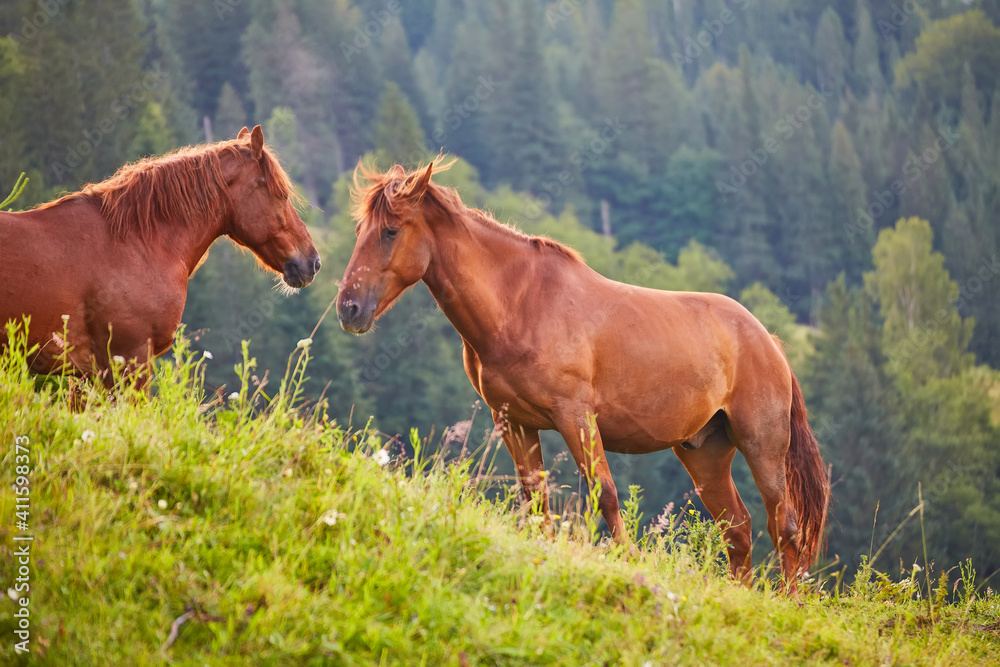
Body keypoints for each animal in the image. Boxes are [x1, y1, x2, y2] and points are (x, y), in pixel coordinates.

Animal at [335, 160, 831, 590]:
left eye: (391, 231)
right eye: (359, 231)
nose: (348, 308)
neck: (520, 304)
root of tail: (769, 342)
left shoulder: (575, 416)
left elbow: (604, 493)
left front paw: (629, 563)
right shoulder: (514, 422)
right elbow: (535, 498)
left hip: (761, 443)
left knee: (784, 526)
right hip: (705, 452)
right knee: (739, 530)